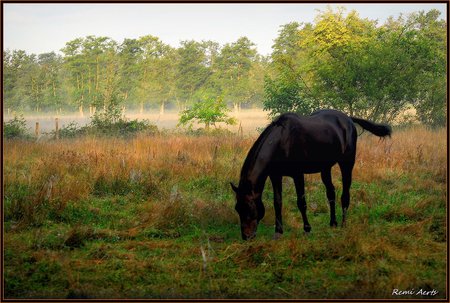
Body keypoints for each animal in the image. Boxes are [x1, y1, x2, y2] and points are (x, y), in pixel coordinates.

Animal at [232, 110, 390, 241]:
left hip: (347, 163)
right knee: (331, 193)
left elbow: (301, 202)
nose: (246, 237)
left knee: (345, 194)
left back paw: (343, 224)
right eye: (237, 209)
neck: (282, 140)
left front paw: (307, 229)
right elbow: (277, 202)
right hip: (325, 168)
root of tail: (348, 119)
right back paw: (333, 223)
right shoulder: (275, 175)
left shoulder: (297, 175)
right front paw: (278, 232)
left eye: (250, 208)